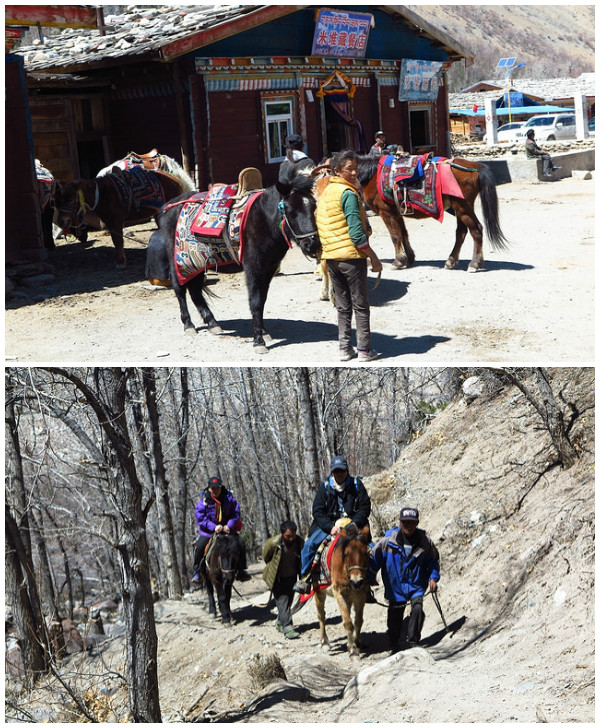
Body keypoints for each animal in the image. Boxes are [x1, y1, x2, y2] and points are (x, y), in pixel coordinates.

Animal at [148, 162, 322, 350]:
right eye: (290, 210)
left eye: (313, 206)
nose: (312, 244)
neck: (263, 219)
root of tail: (167, 207)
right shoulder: (253, 268)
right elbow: (255, 301)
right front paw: (258, 341)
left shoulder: (268, 269)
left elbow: (262, 300)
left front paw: (263, 332)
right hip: (179, 262)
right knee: (180, 289)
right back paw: (189, 325)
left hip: (197, 263)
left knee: (195, 291)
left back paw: (212, 323)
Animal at [314, 524, 370, 656]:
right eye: (346, 554)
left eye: (365, 553)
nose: (356, 581)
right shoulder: (339, 593)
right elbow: (348, 622)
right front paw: (353, 652)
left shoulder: (361, 594)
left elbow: (358, 620)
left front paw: (356, 643)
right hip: (319, 592)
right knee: (321, 615)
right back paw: (324, 642)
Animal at [354, 152, 508, 272]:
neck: (371, 176)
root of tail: (474, 167)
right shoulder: (397, 213)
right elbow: (403, 234)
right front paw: (409, 258)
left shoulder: (386, 212)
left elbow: (395, 236)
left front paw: (398, 261)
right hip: (460, 208)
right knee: (461, 233)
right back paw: (451, 261)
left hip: (463, 208)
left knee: (476, 230)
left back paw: (474, 264)